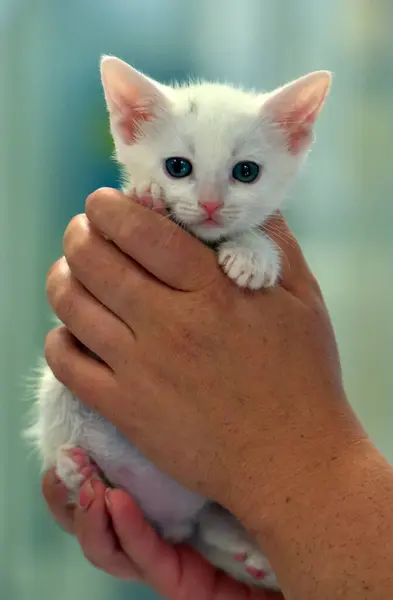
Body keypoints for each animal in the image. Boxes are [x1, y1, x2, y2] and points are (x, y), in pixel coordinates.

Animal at [26, 56, 330, 592]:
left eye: (246, 172)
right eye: (177, 167)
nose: (209, 205)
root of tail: (172, 516)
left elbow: (255, 229)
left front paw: (253, 255)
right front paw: (147, 199)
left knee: (208, 524)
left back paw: (248, 551)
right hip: (59, 392)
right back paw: (77, 470)